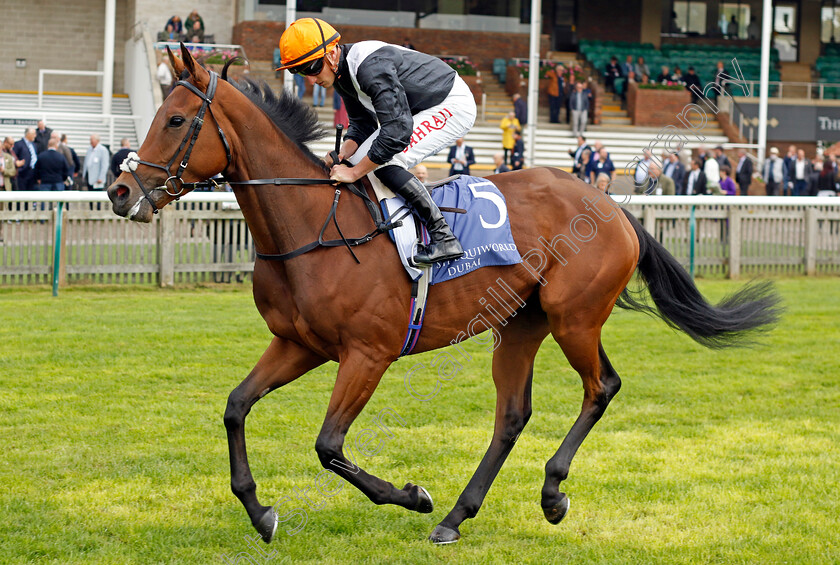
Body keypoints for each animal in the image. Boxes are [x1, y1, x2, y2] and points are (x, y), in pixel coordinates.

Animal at [106, 46, 780, 544]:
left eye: (174, 119)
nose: (118, 191)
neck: (312, 224)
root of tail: (609, 205)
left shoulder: (367, 353)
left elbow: (328, 445)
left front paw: (411, 495)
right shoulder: (300, 344)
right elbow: (235, 407)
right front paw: (260, 511)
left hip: (574, 317)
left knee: (601, 388)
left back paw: (549, 493)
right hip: (522, 324)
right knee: (512, 414)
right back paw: (459, 516)